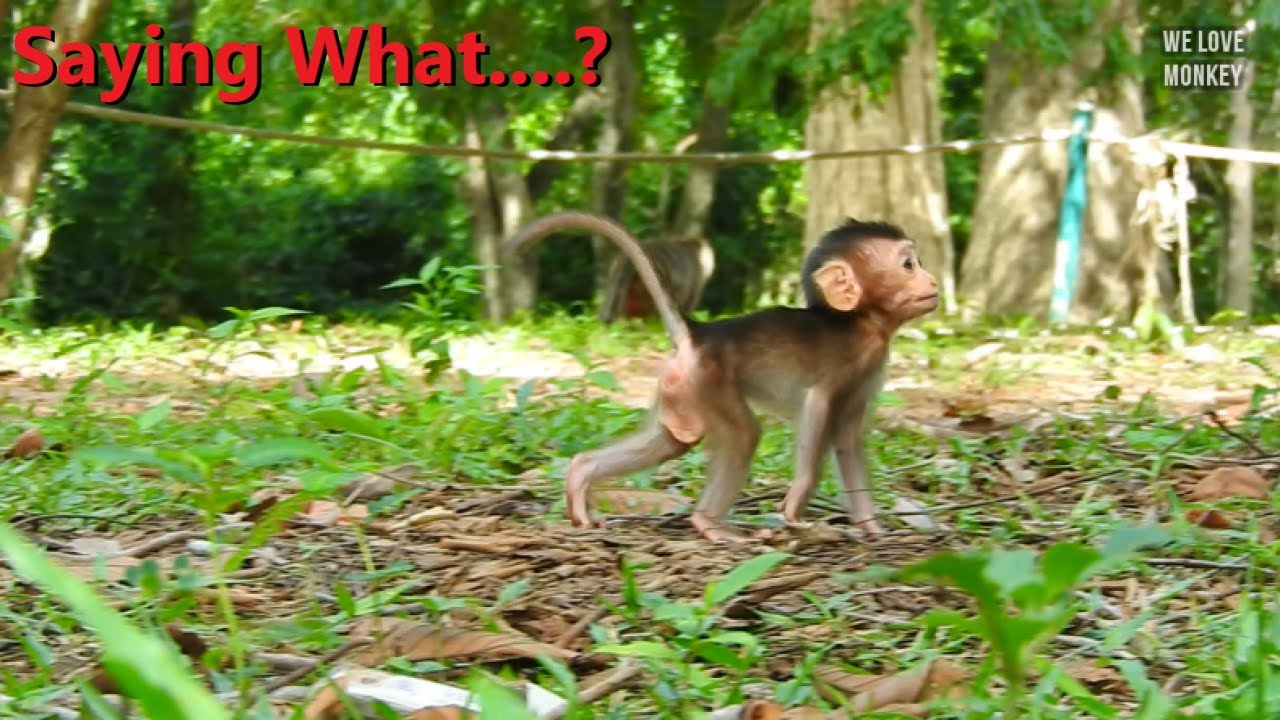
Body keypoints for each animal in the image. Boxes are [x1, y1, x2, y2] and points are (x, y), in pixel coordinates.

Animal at [506, 211, 938, 543]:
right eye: (908, 265)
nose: (933, 281)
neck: (861, 320)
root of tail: (697, 335)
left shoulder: (868, 368)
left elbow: (848, 441)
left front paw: (872, 525)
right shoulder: (850, 360)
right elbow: (817, 408)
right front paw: (798, 500)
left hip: (680, 388)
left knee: (670, 442)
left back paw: (581, 475)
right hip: (709, 379)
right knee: (743, 435)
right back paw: (709, 524)